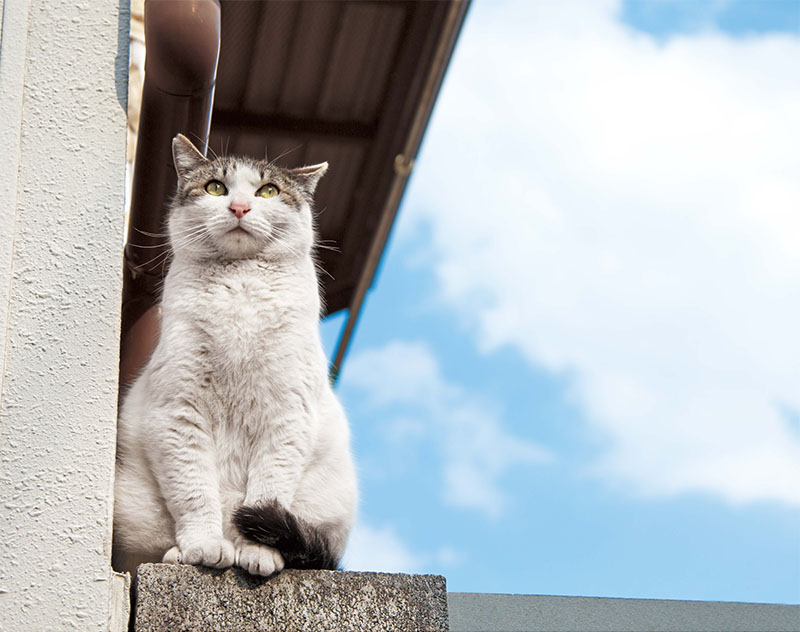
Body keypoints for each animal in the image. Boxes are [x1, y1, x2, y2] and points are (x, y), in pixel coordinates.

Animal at [114, 135, 358, 576]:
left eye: (268, 191)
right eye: (215, 188)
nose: (240, 207)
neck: (240, 291)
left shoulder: (286, 415)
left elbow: (267, 496)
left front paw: (257, 553)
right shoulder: (179, 412)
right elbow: (195, 493)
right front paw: (205, 547)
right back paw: (180, 554)